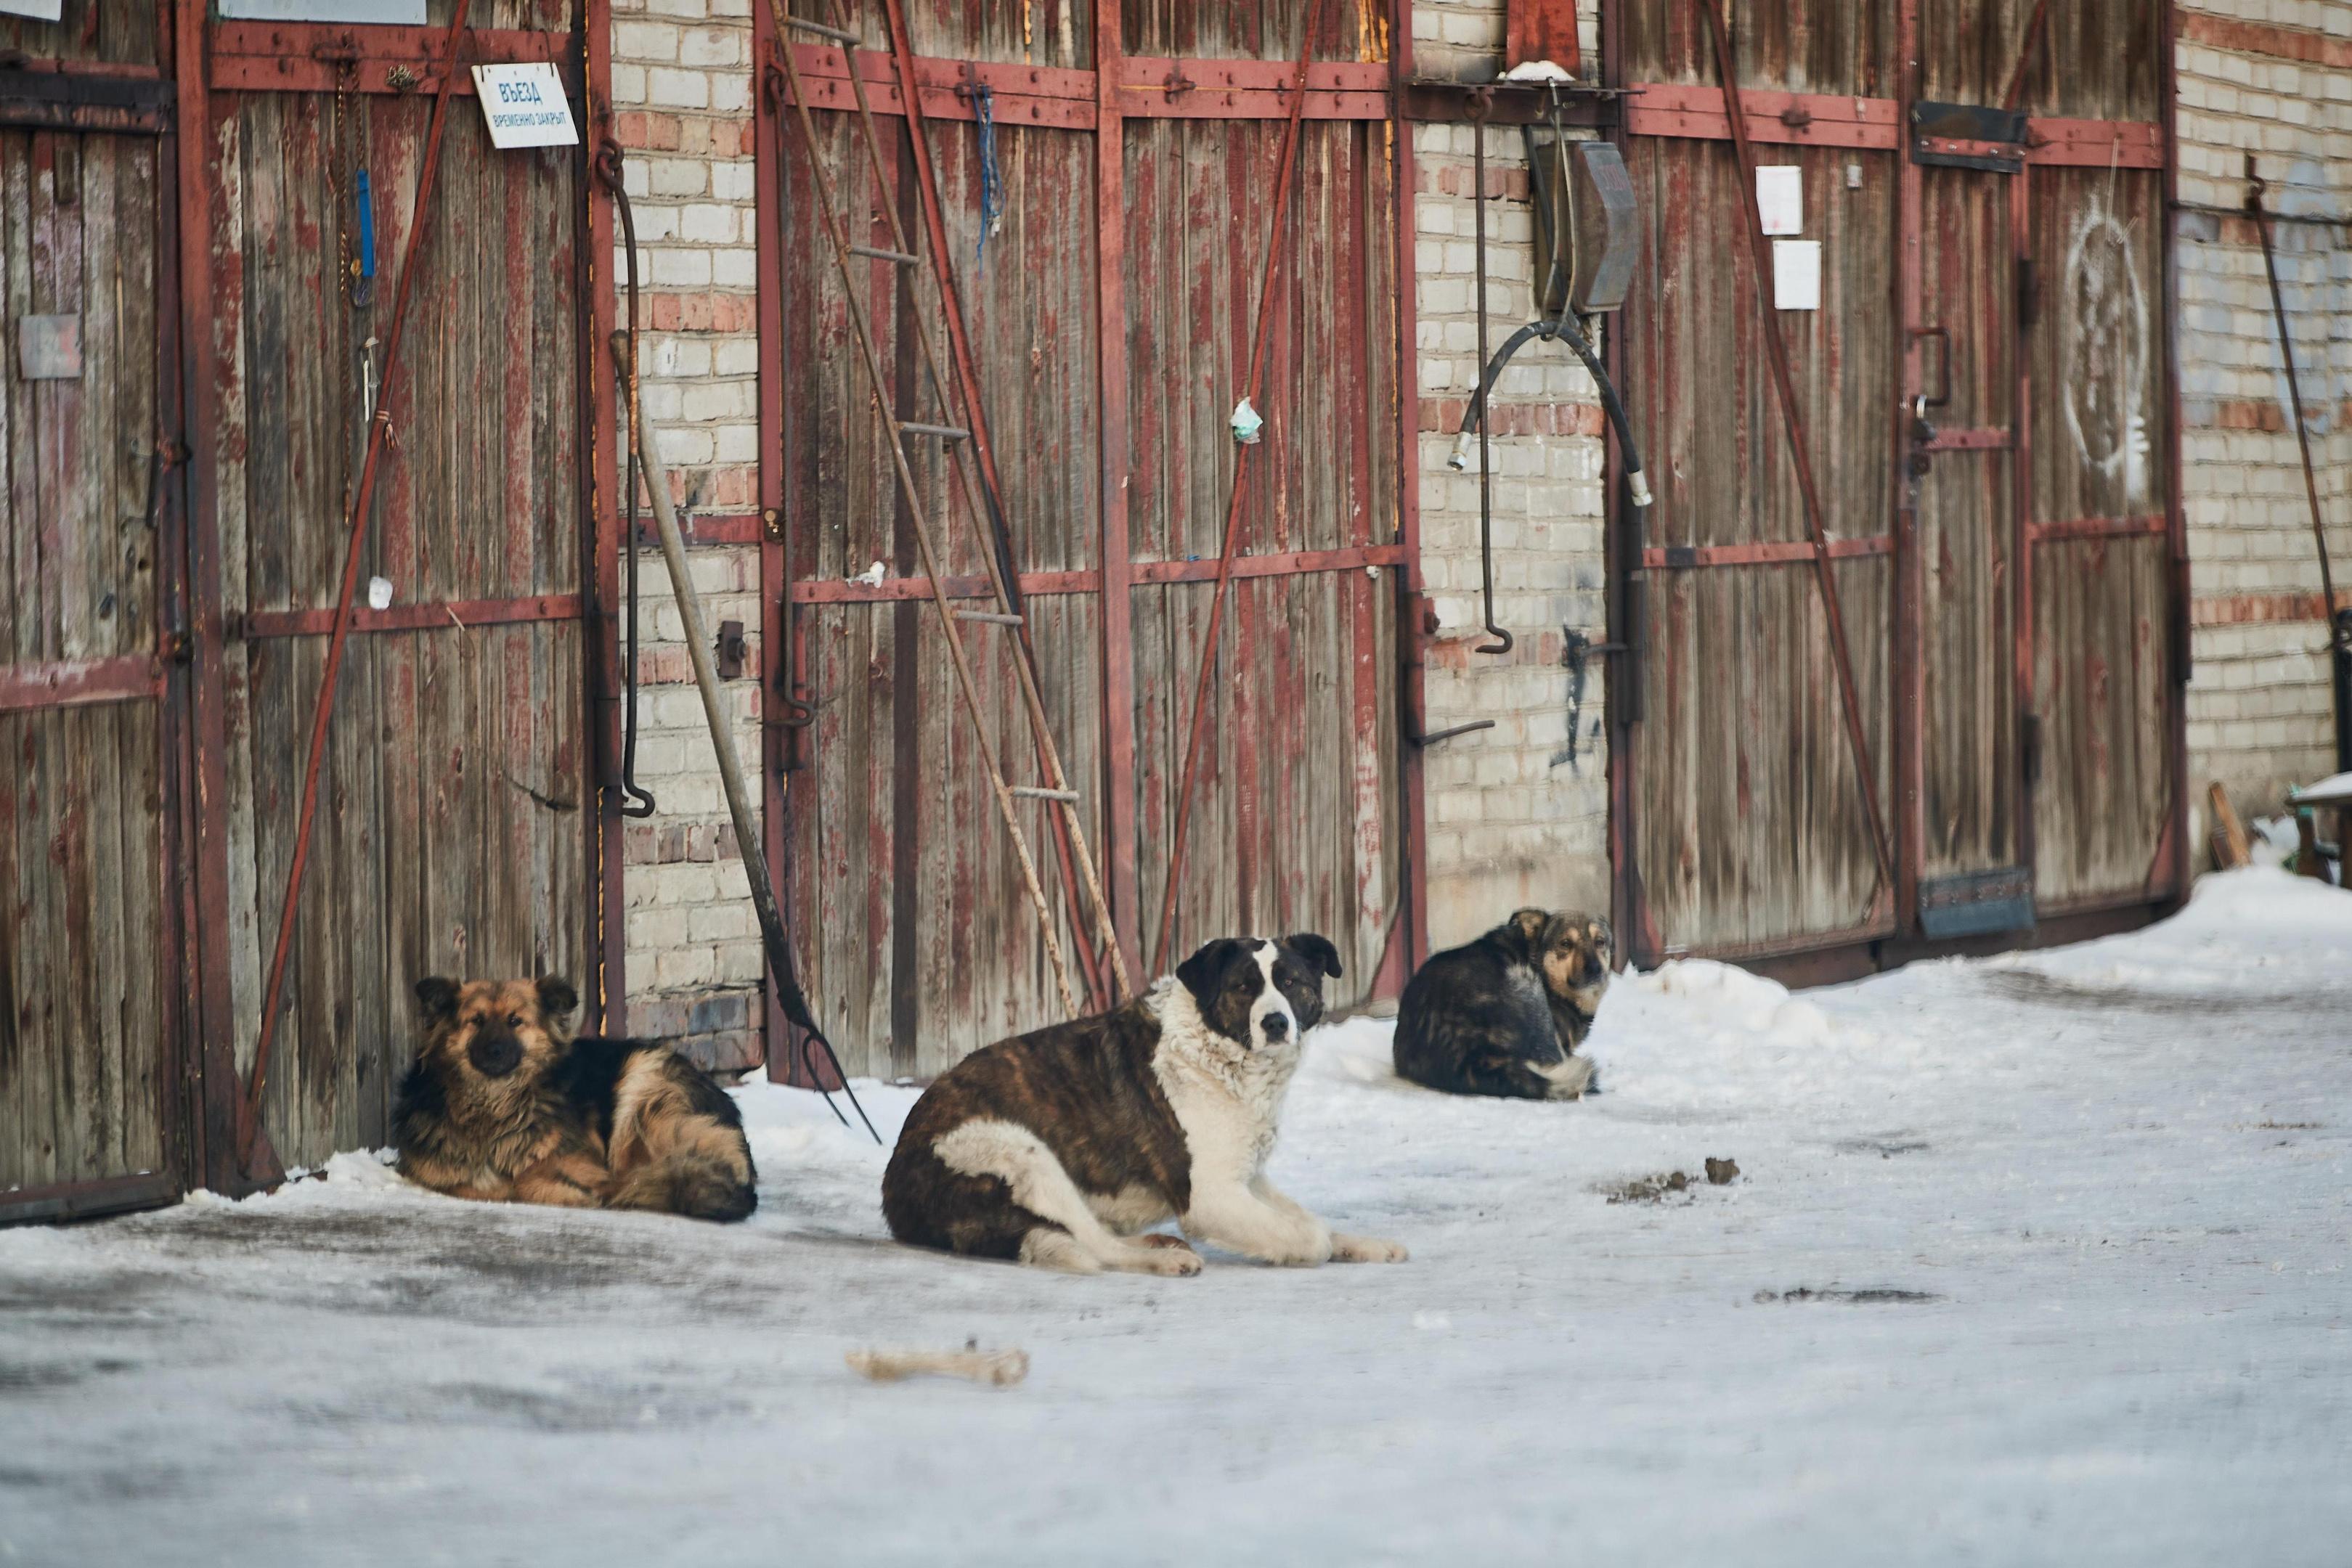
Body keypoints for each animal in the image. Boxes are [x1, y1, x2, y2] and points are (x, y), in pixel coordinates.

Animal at [390, 982, 748, 1222]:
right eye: (475, 1021)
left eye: (515, 1021)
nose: (494, 1051)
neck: (495, 1106)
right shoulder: (437, 1170)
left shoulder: (586, 1164)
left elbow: (526, 1181)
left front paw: (569, 1191)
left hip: (642, 1085)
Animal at [879, 931, 1392, 1278]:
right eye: (1244, 987)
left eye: (1290, 981)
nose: (1275, 1023)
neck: (1216, 1052)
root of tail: (894, 1190)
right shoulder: (1210, 1197)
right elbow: (1311, 1236)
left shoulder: (1247, 1177)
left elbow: (1312, 1220)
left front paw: (1367, 1245)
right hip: (1022, 1153)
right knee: (1096, 1247)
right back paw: (1162, 1259)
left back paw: (1159, 1244)